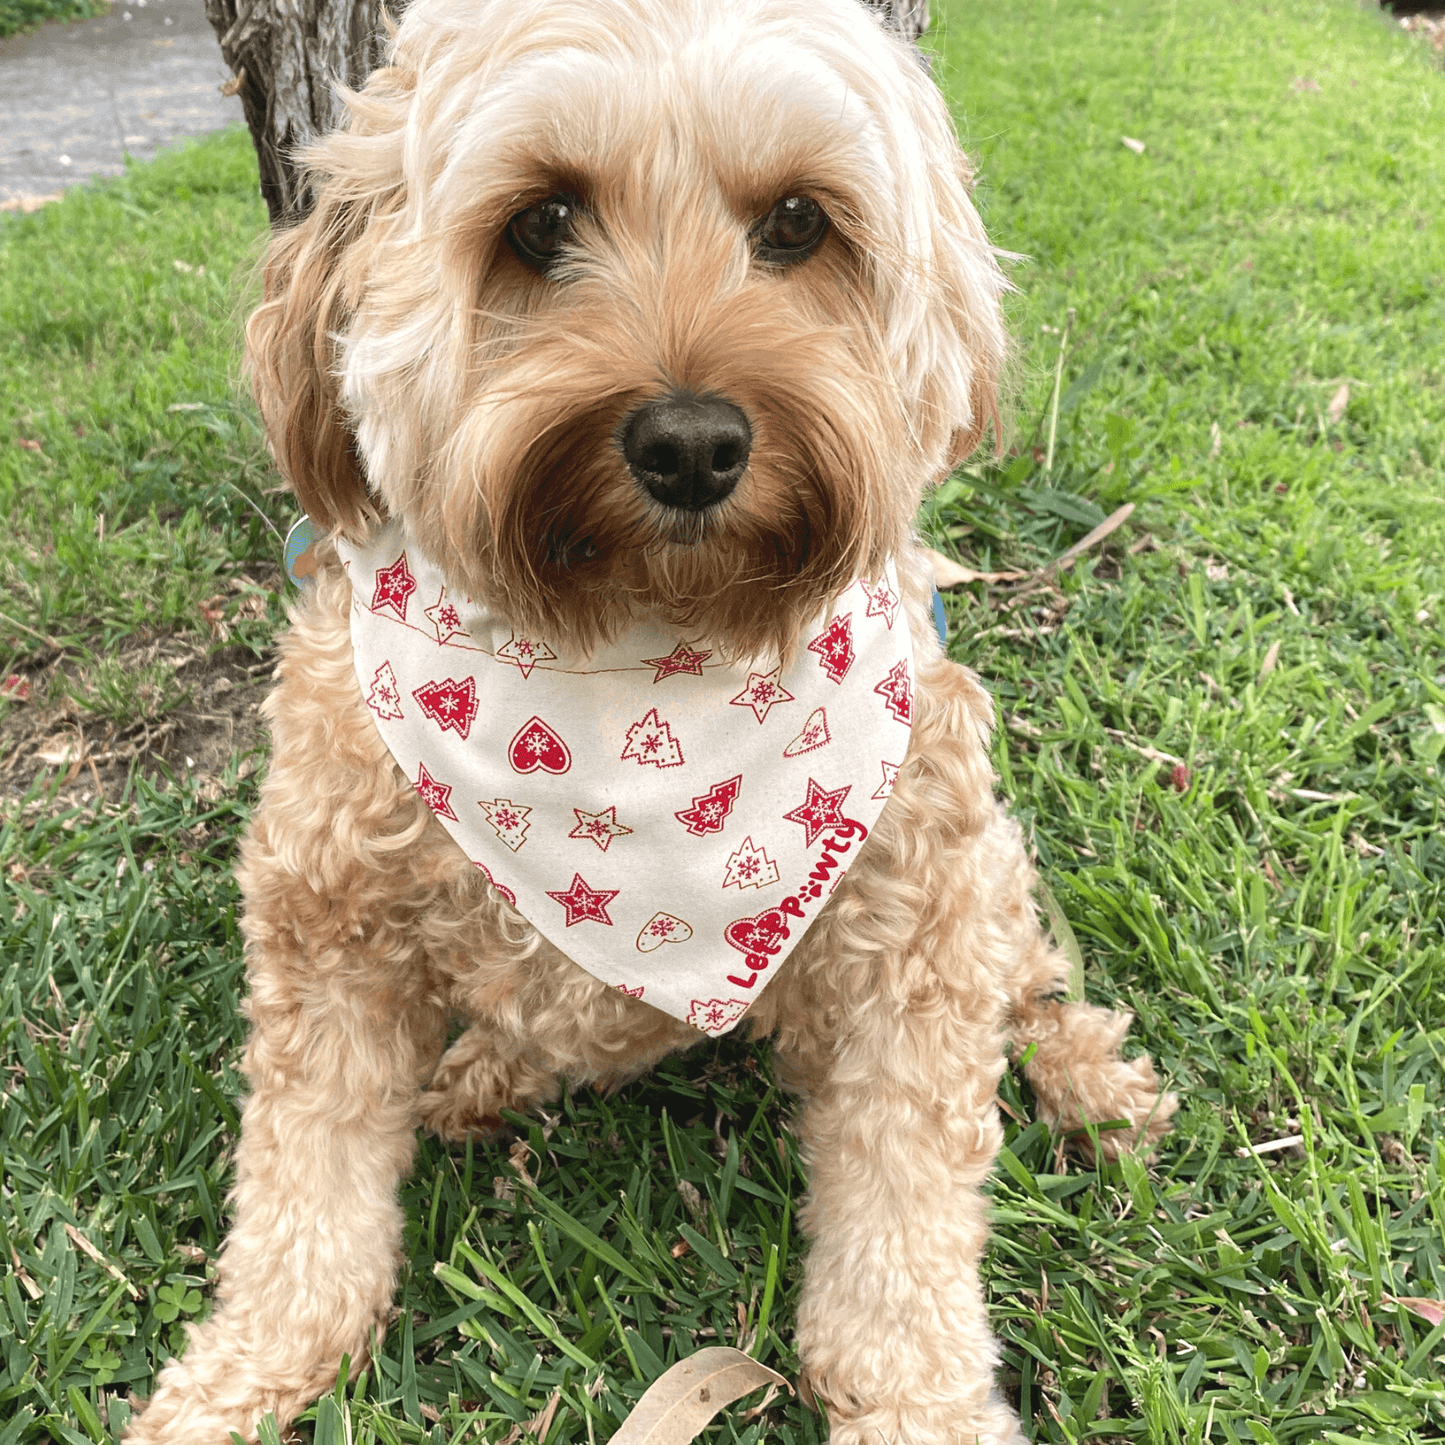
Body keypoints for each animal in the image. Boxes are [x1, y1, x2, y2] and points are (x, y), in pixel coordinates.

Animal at [127, 0, 1173, 1439]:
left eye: (795, 222)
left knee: (1029, 977)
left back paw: (1090, 1079)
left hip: (980, 866)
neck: (631, 662)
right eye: (539, 223)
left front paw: (917, 1404)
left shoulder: (913, 929)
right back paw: (481, 1076)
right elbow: (303, 1193)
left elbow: (901, 1230)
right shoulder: (324, 926)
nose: (690, 445)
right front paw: (240, 1375)